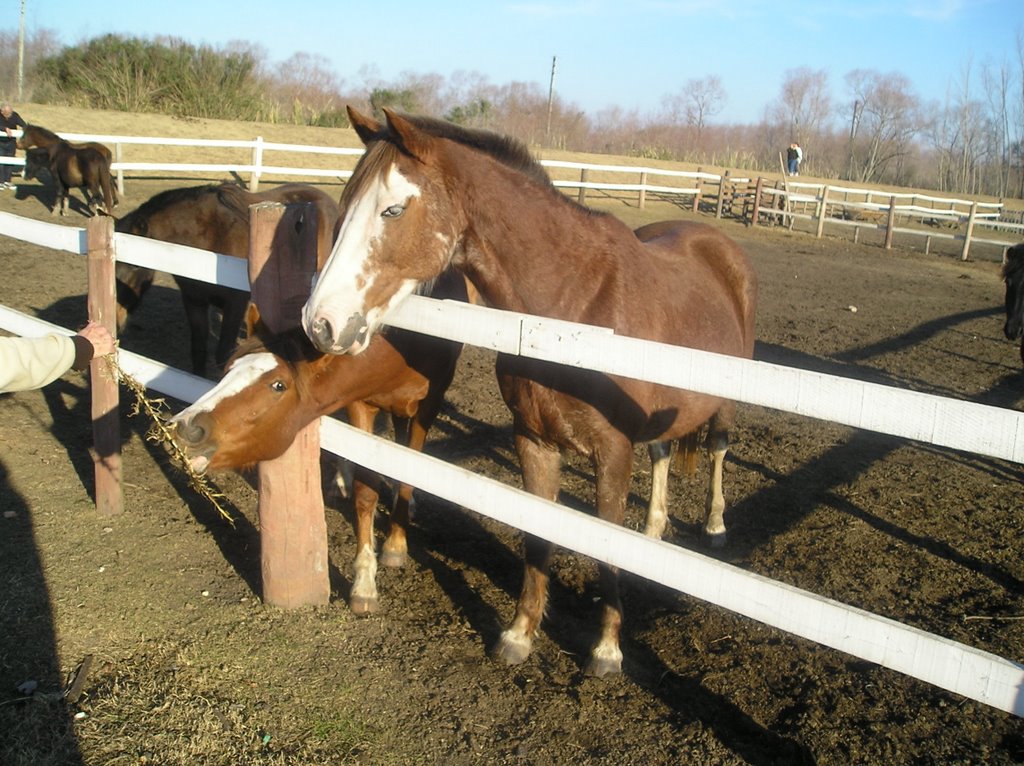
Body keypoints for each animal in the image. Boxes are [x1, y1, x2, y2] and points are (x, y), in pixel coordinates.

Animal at [115, 184, 339, 378]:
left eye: (135, 265)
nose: (116, 323)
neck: (210, 240)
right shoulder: (194, 300)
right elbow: (198, 349)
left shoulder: (235, 304)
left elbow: (224, 354)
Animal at [171, 268, 468, 610]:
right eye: (230, 369)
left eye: (278, 385)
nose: (187, 426)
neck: (404, 344)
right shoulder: (360, 403)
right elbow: (365, 493)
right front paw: (364, 583)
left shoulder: (430, 404)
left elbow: (408, 473)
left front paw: (395, 544)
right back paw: (341, 479)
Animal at [299, 107, 757, 675]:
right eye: (343, 210)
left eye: (393, 209)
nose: (319, 322)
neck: (571, 313)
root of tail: (715, 240)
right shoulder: (534, 442)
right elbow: (538, 538)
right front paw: (520, 633)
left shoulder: (612, 453)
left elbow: (607, 544)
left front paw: (606, 650)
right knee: (664, 452)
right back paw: (652, 531)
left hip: (727, 402)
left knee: (717, 448)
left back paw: (714, 526)